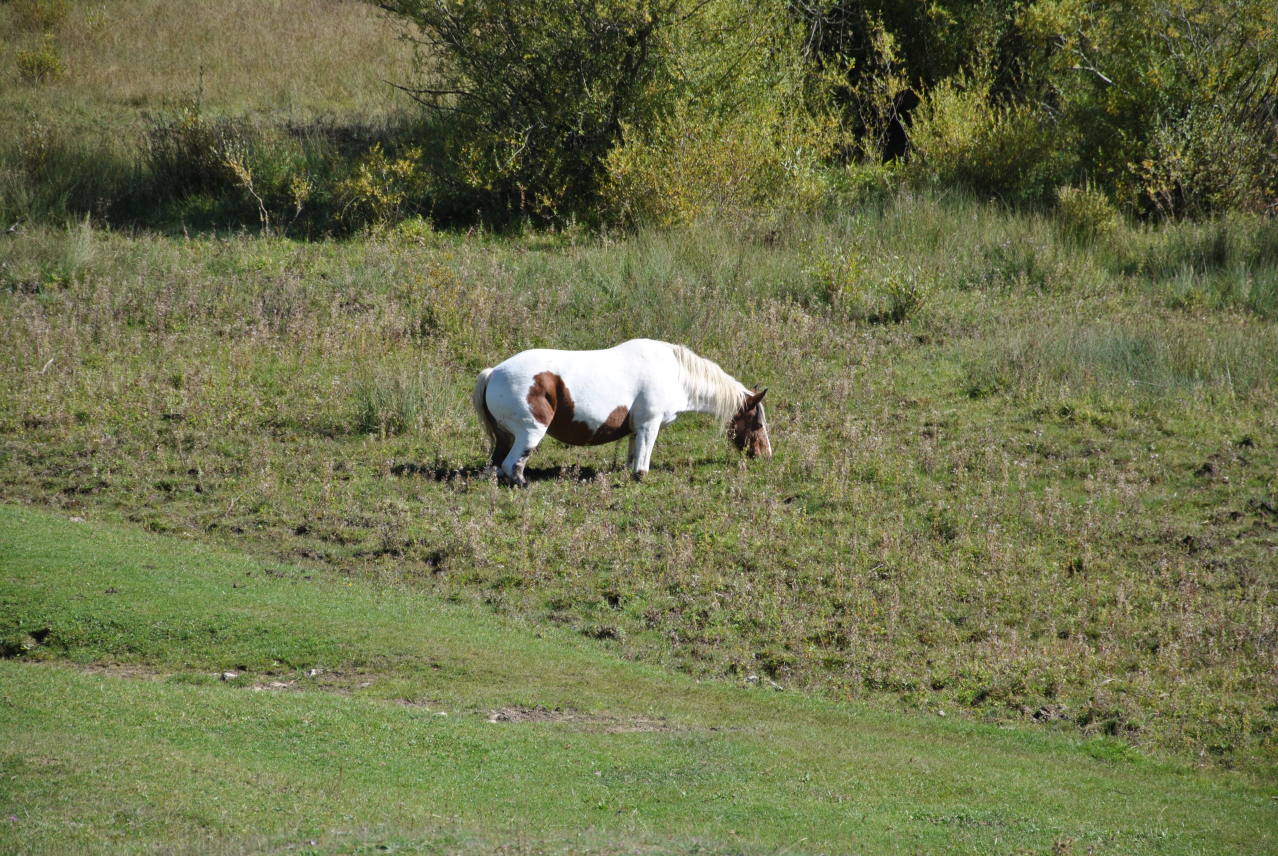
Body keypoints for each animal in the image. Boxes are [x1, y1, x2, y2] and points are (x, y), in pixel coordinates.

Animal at [470, 342, 766, 490]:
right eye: (758, 423)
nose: (765, 455)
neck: (673, 372)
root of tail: (493, 372)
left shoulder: (636, 429)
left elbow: (632, 456)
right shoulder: (649, 425)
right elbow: (642, 464)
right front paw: (640, 479)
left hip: (506, 437)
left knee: (498, 466)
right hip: (530, 433)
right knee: (511, 466)